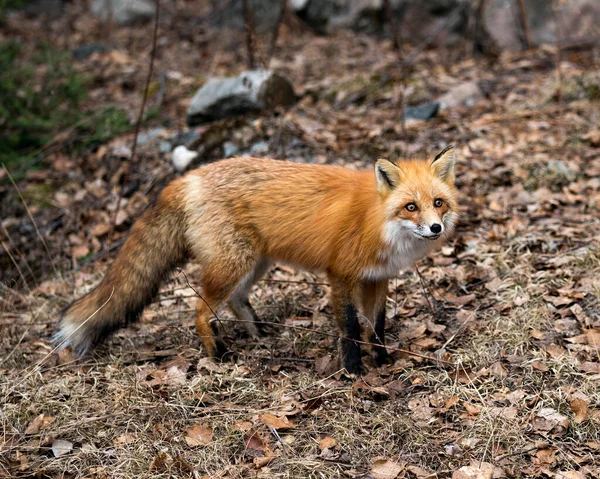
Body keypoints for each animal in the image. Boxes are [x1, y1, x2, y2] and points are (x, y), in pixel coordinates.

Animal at [57, 146, 460, 376]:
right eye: (411, 207)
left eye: (438, 203)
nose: (436, 228)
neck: (376, 221)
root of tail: (187, 179)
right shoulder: (340, 276)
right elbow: (348, 326)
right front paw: (353, 369)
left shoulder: (377, 277)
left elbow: (376, 325)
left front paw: (382, 360)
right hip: (232, 264)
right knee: (199, 311)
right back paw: (218, 354)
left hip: (254, 264)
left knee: (236, 301)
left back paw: (258, 333)